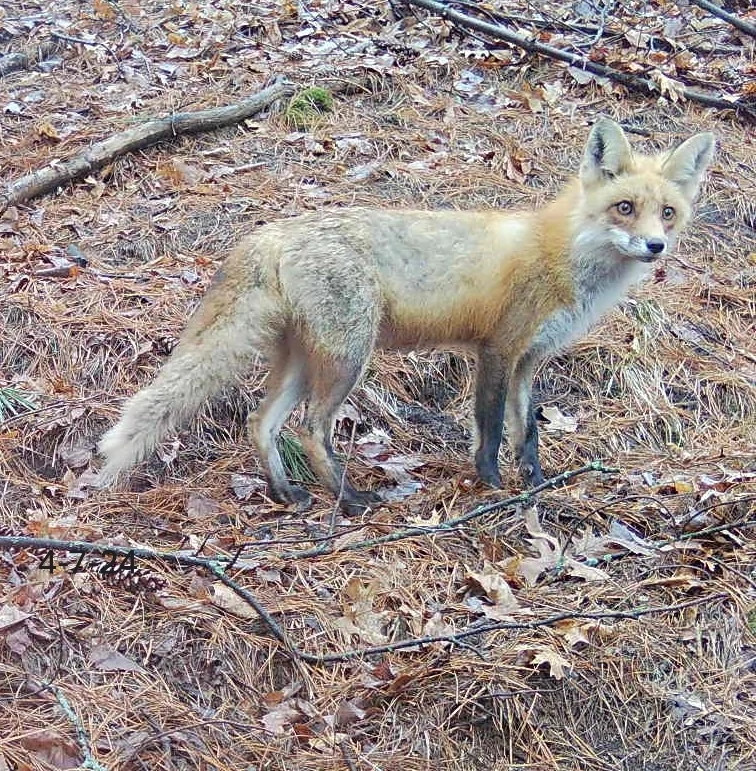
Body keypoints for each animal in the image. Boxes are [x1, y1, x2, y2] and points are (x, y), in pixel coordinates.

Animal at [97, 118, 715, 513]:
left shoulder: (528, 360)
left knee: (261, 422)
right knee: (311, 429)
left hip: (304, 358)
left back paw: (286, 494)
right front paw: (491, 485)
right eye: (624, 208)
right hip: (349, 358)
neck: (565, 256)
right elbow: (492, 428)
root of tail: (274, 231)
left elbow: (529, 430)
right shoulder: (497, 350)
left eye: (667, 212)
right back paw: (349, 500)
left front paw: (535, 482)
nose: (656, 246)